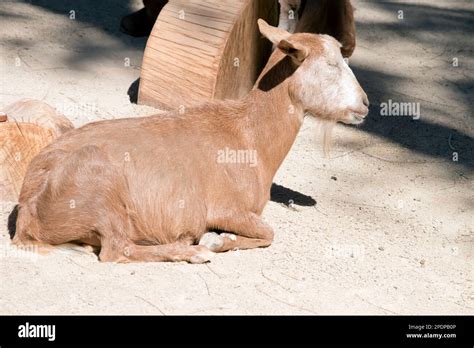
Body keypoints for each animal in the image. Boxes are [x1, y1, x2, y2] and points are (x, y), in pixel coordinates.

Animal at [9, 19, 368, 262]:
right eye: (332, 65)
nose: (364, 104)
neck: (248, 136)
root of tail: (28, 210)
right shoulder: (226, 208)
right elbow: (268, 233)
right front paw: (215, 241)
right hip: (102, 193)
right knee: (117, 250)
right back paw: (190, 251)